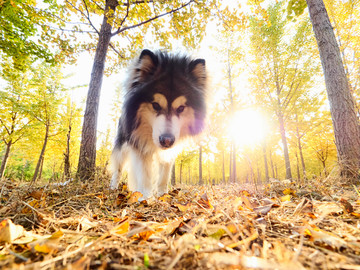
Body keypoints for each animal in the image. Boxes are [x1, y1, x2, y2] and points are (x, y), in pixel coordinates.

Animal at [109, 49, 207, 199]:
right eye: (155, 105)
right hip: (122, 144)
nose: (167, 140)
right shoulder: (139, 145)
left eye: (181, 108)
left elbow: (164, 175)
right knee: (118, 168)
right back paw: (113, 187)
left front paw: (162, 195)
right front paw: (146, 197)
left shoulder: (170, 152)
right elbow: (145, 174)